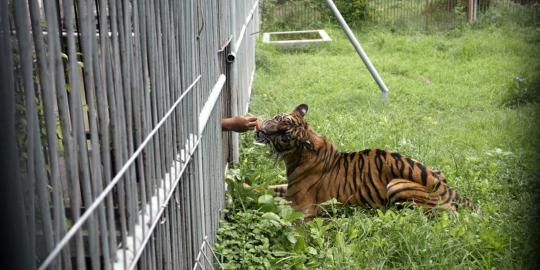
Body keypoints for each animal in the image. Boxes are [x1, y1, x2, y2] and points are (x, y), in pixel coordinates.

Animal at [254, 103, 476, 217]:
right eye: (277, 118)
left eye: (284, 135)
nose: (261, 129)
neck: (295, 155)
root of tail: (448, 189)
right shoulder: (289, 188)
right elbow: (266, 188)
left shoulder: (300, 205)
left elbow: (271, 204)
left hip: (396, 184)